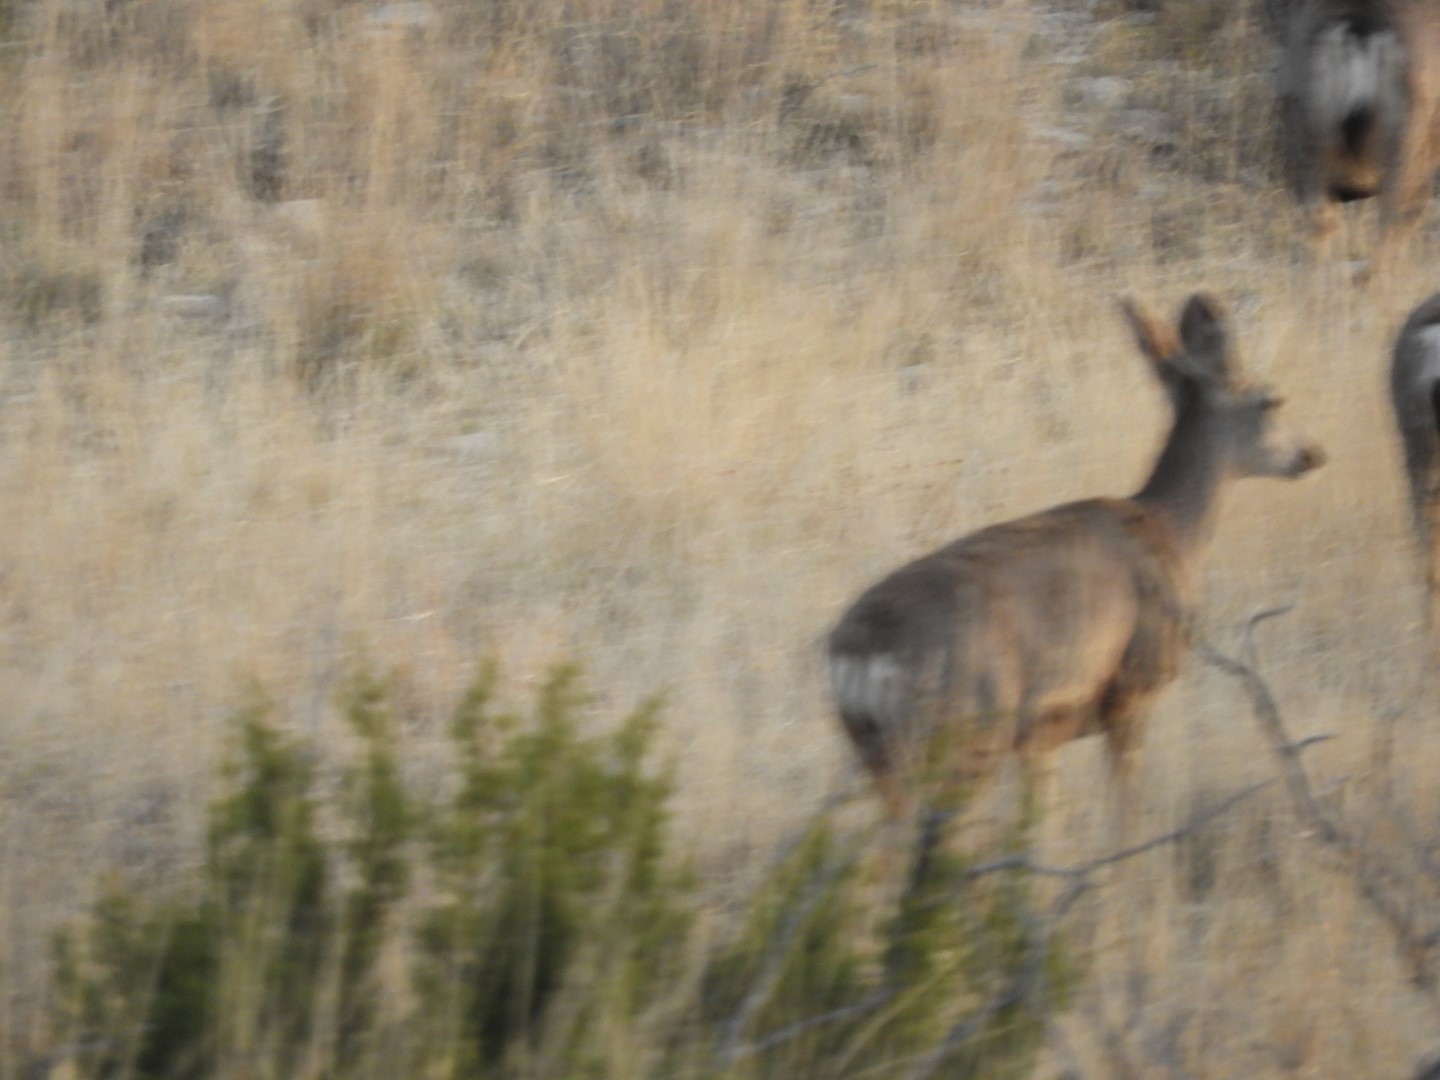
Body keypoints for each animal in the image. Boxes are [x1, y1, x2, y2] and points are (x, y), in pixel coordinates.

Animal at [827, 294, 1326, 842]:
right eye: (1271, 401)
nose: (1312, 453)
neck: (1170, 532)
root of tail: (860, 647)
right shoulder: (1132, 684)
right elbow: (1127, 810)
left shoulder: (1041, 734)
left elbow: (1040, 829)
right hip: (968, 730)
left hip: (876, 750)